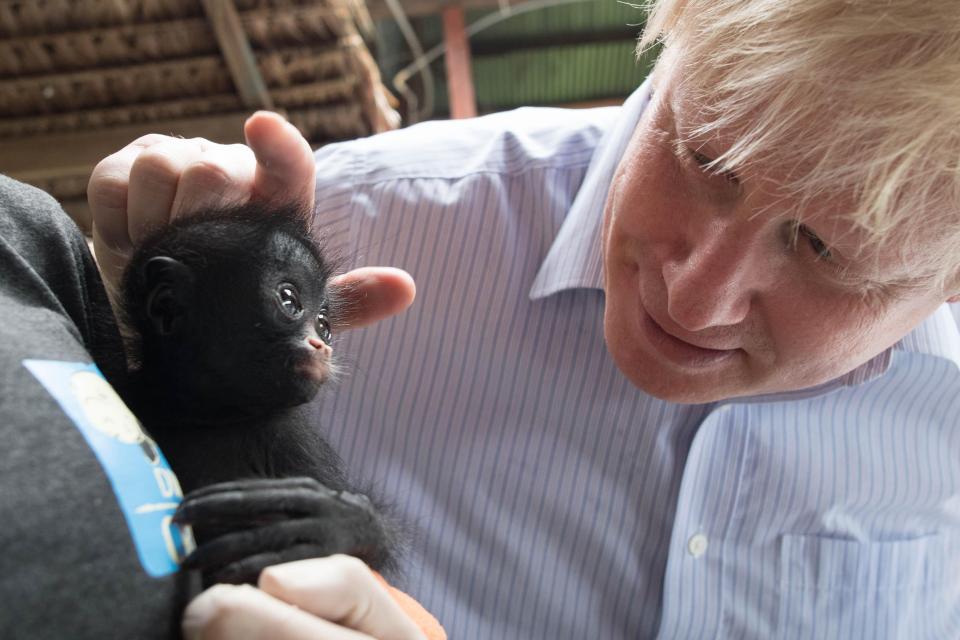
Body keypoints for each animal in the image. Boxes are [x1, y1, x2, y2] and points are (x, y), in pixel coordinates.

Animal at [117, 202, 398, 588]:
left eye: (324, 325)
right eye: (289, 300)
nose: (322, 346)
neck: (209, 417)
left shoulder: (293, 437)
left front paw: (336, 522)